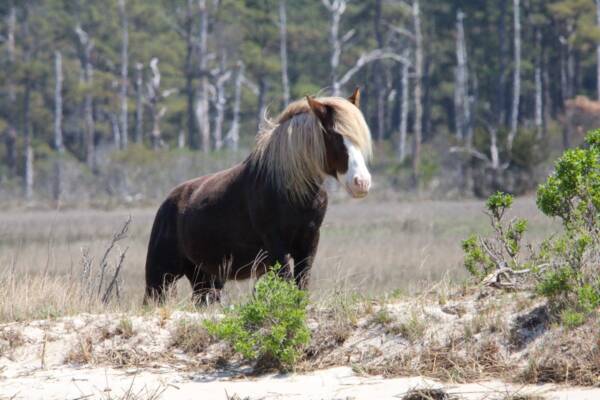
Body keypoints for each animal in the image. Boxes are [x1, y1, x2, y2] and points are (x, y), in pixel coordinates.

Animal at [143, 89, 372, 304]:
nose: (361, 182)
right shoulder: (276, 245)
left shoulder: (308, 242)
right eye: (334, 136)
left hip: (205, 277)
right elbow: (287, 280)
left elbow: (302, 283)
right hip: (160, 277)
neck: (291, 190)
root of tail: (167, 203)